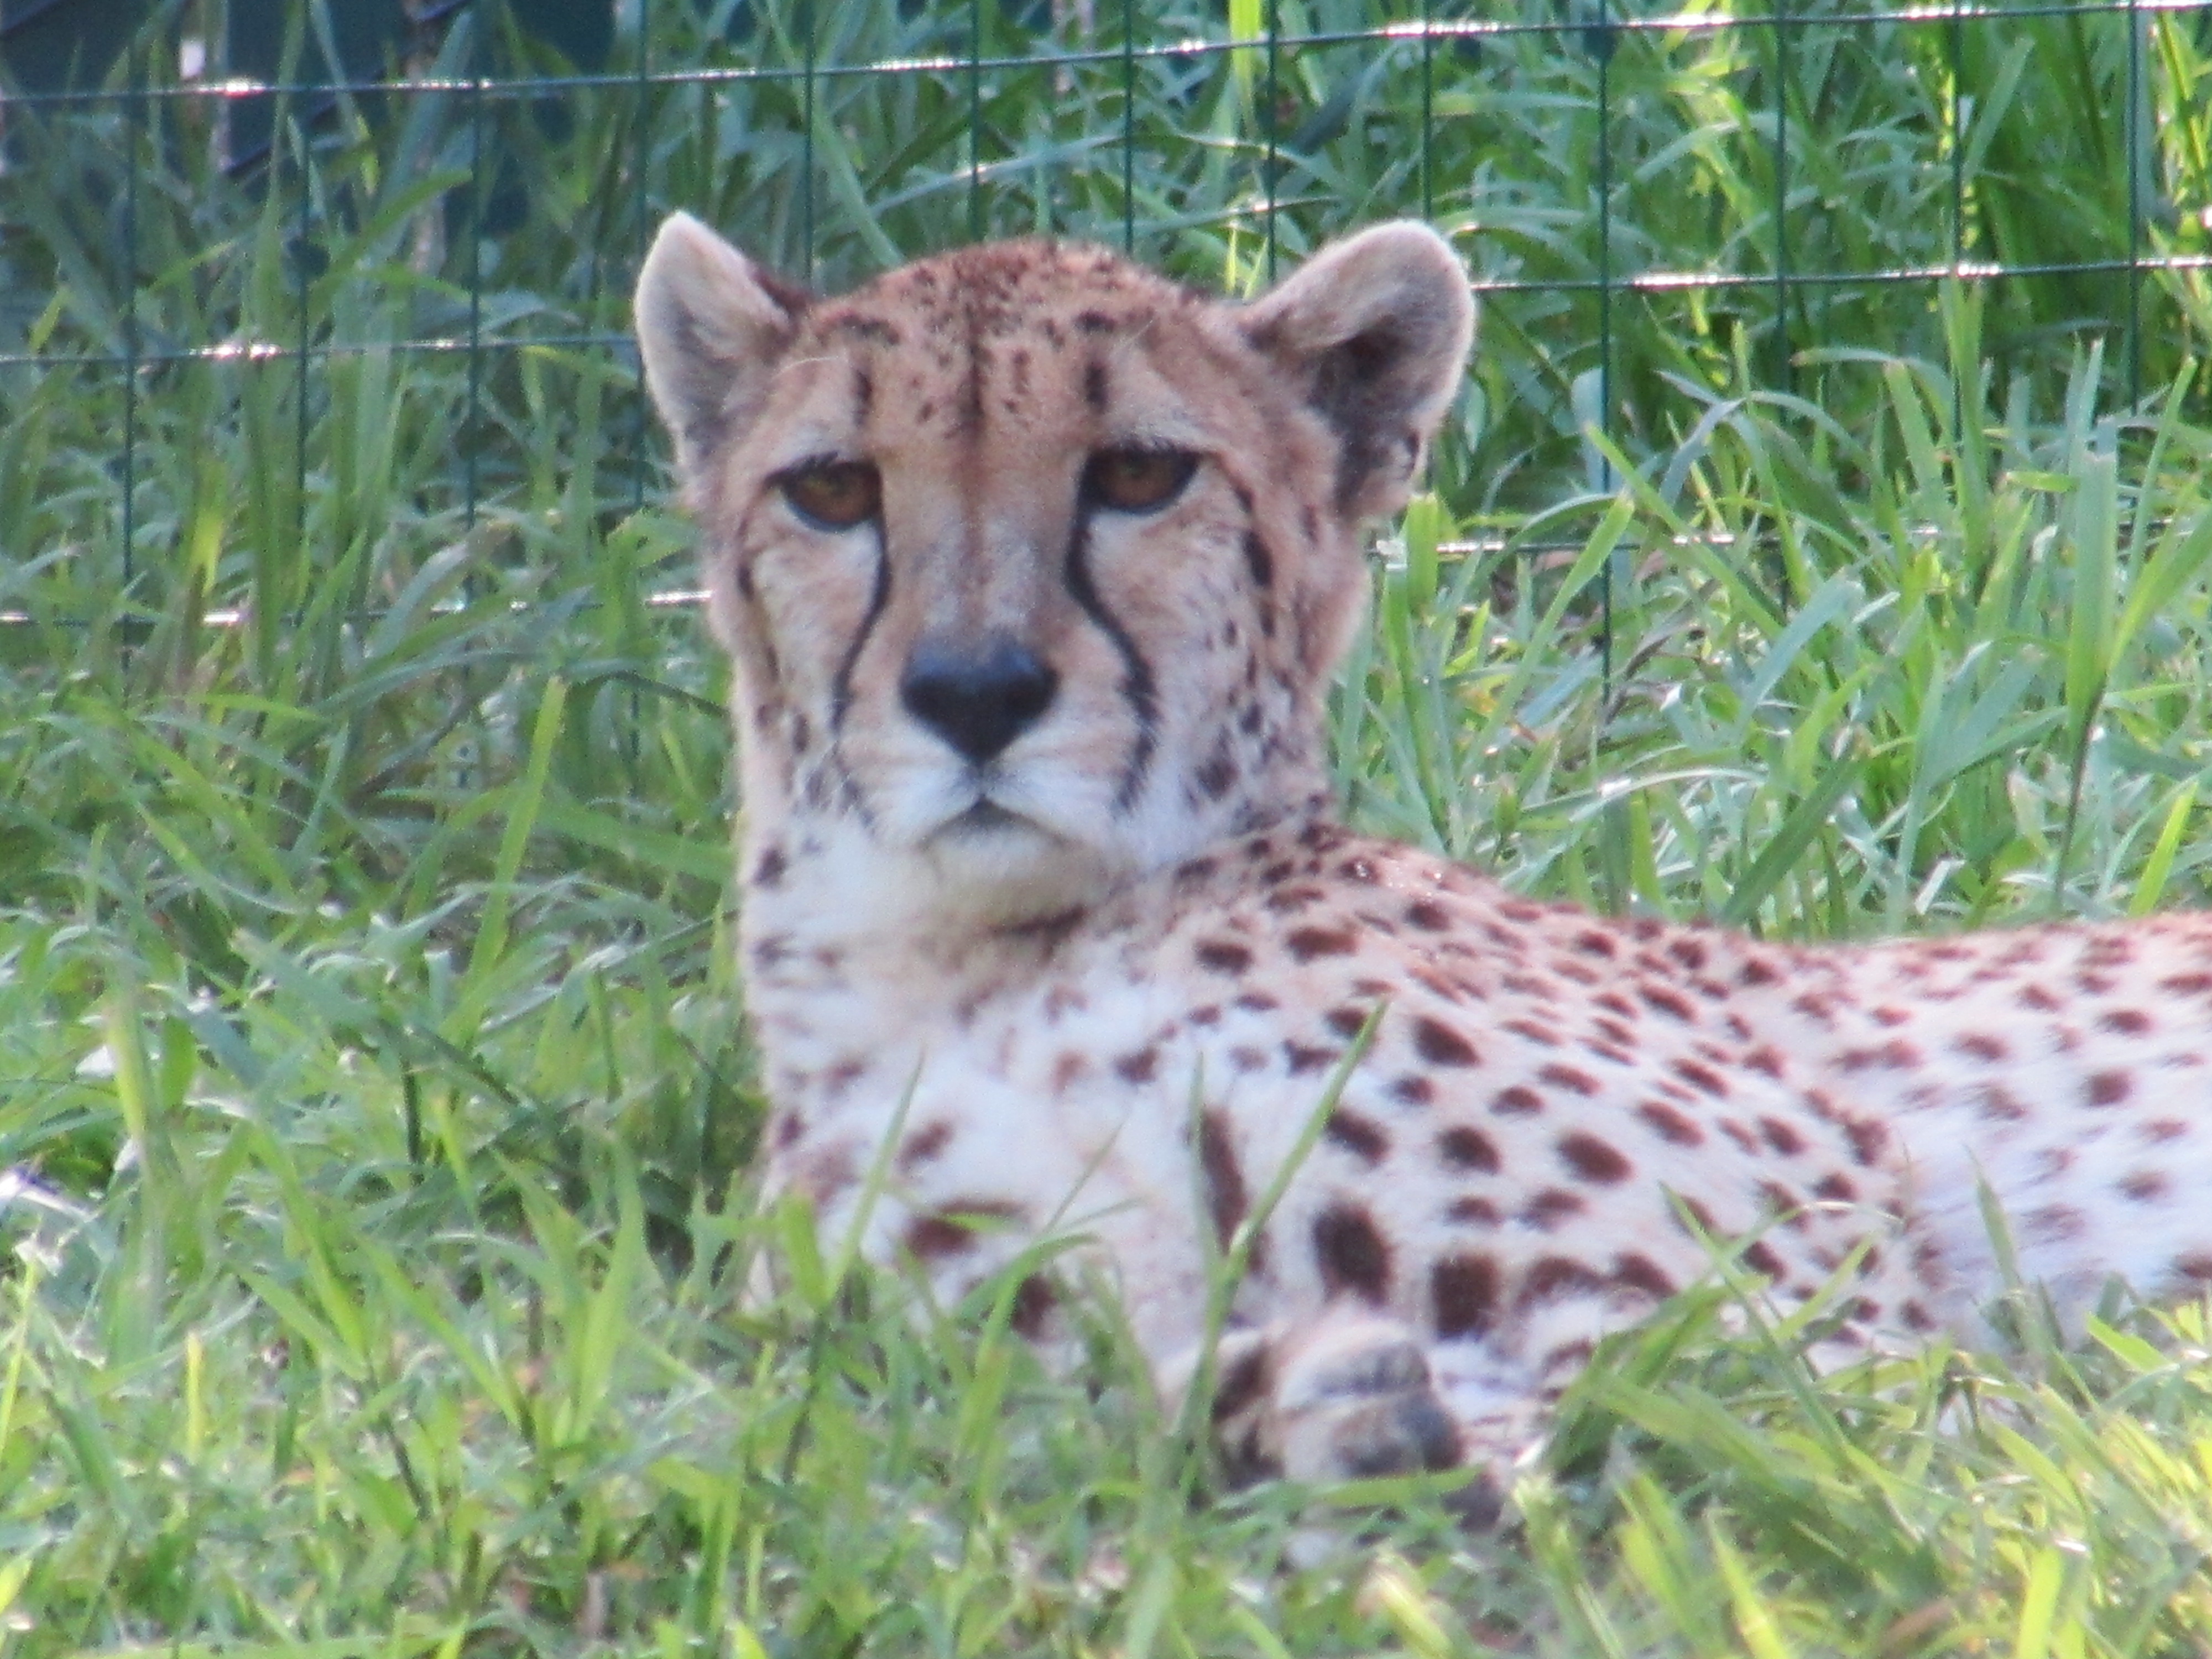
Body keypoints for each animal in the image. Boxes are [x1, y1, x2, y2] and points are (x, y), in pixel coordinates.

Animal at [633, 215, 2212, 1513]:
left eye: (1140, 474)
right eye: (834, 490)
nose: (972, 695)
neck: (956, 955)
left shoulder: (1824, 1318)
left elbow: (1721, 1411)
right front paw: (1313, 1413)